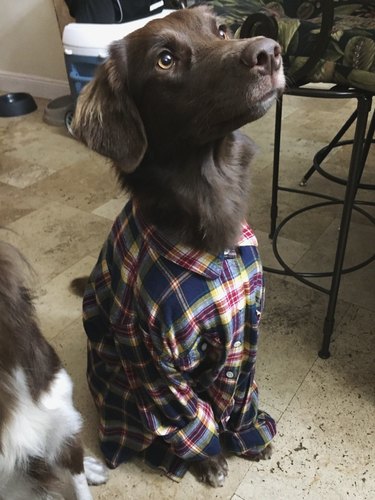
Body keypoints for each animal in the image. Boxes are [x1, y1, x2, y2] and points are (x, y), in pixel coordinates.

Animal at [72, 5, 286, 486]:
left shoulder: (246, 328)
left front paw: (250, 438)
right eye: (165, 60)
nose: (269, 52)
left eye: (222, 30)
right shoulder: (152, 356)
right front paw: (208, 459)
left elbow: (238, 394)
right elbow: (189, 415)